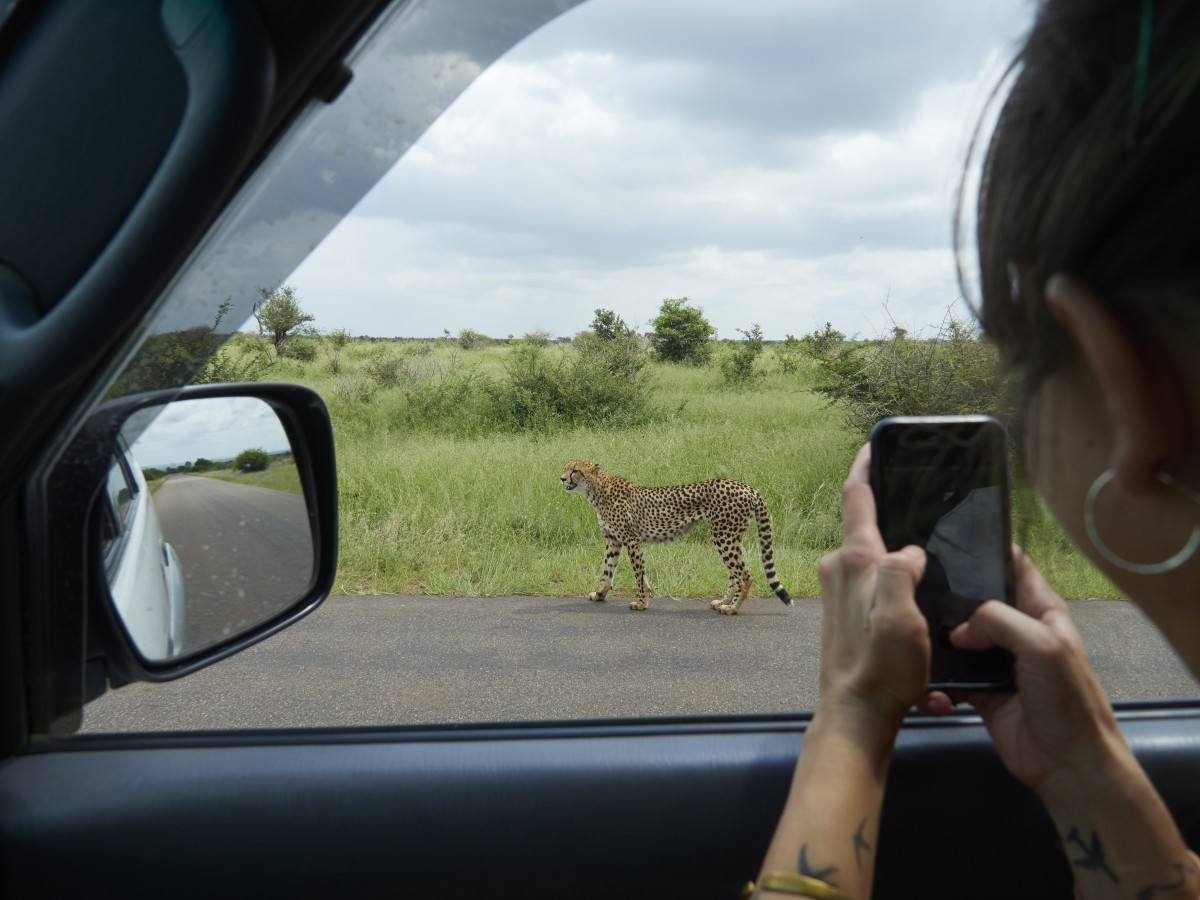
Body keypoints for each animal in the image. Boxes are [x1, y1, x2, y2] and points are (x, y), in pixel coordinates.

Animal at [559, 460, 792, 619]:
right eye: (566, 467)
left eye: (575, 470)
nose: (562, 478)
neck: (596, 490)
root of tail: (746, 486)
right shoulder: (613, 541)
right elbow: (607, 572)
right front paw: (600, 595)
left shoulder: (632, 540)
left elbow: (638, 575)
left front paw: (642, 603)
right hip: (729, 537)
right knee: (735, 575)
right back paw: (722, 602)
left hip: (724, 536)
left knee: (745, 576)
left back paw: (732, 608)